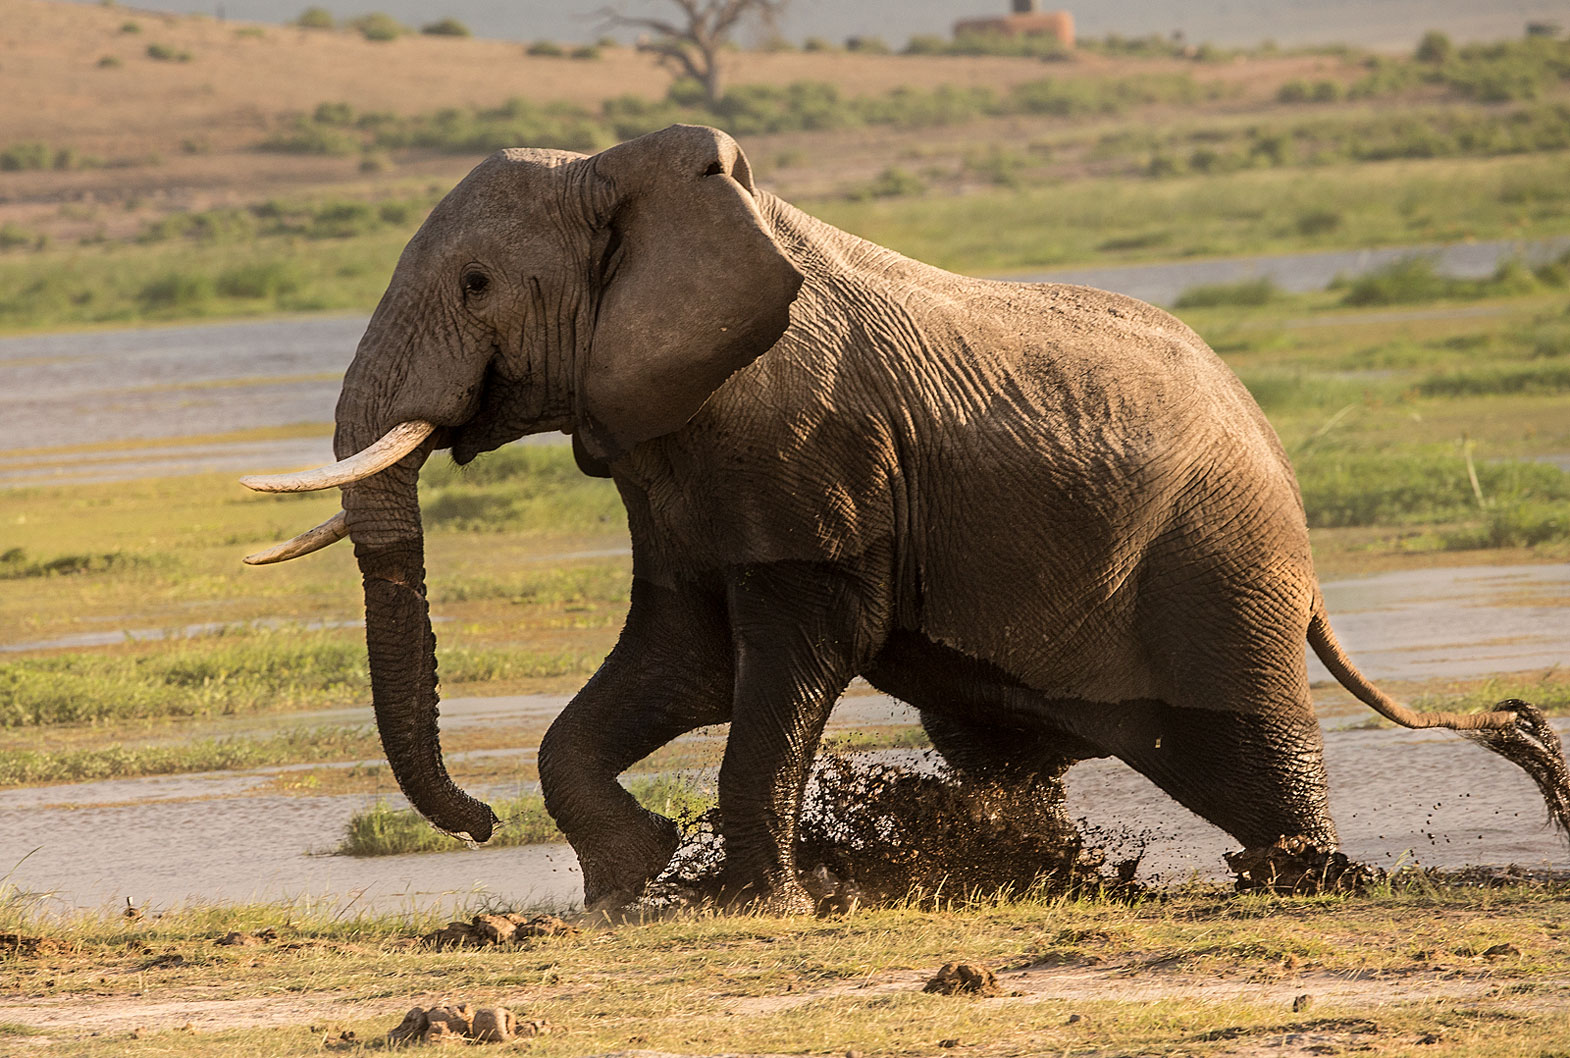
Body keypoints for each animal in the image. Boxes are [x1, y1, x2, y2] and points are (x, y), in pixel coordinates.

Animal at [244, 124, 1570, 910]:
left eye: (476, 285)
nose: (472, 828)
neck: (630, 176)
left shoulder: (807, 450)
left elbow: (780, 665)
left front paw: (755, 904)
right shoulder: (678, 454)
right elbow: (682, 656)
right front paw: (632, 884)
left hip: (1221, 561)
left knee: (1250, 740)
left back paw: (1302, 877)